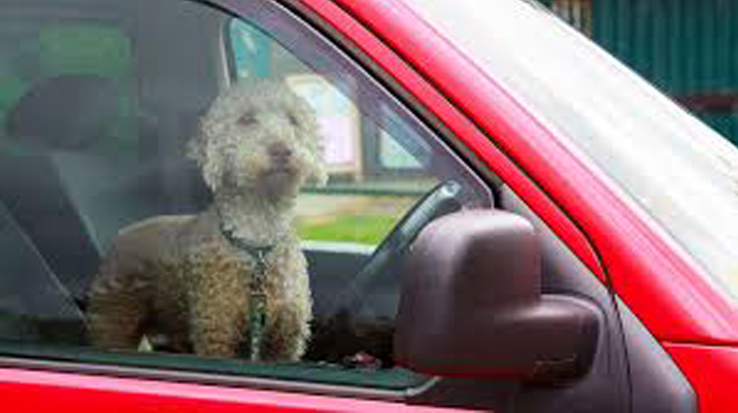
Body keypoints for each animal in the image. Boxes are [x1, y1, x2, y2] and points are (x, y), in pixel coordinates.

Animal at [86, 78, 324, 360]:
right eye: (246, 119)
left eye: (293, 119)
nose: (282, 150)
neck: (255, 244)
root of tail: (120, 235)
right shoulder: (215, 329)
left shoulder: (287, 337)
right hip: (114, 317)